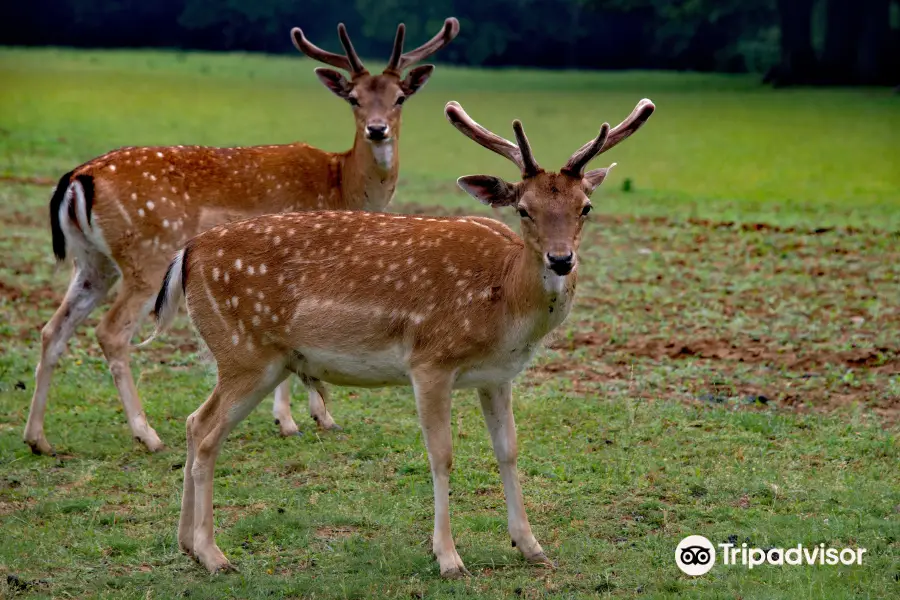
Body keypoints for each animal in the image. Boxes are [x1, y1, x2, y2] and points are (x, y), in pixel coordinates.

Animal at [24, 17, 460, 454]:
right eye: (353, 98)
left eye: (400, 97)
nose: (377, 129)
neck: (344, 184)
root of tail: (78, 178)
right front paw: (291, 421)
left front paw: (318, 417)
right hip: (147, 256)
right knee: (111, 332)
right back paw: (147, 435)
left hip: (92, 263)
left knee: (53, 329)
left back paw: (38, 438)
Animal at [146, 97, 652, 576]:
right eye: (524, 210)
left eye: (585, 207)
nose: (561, 259)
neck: (504, 300)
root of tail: (186, 254)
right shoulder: (430, 360)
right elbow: (441, 455)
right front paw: (448, 557)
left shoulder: (497, 375)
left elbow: (508, 450)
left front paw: (531, 547)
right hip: (244, 352)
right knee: (207, 435)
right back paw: (213, 554)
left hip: (249, 358)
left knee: (193, 422)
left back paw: (186, 545)